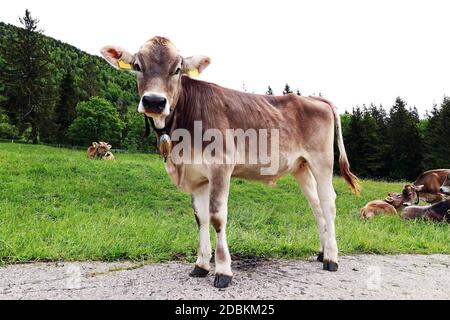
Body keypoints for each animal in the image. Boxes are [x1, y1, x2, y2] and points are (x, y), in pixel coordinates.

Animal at [101, 36, 358, 288]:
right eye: (137, 66)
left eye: (177, 69)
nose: (154, 101)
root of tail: (315, 99)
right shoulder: (197, 176)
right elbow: (200, 218)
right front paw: (201, 265)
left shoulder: (220, 167)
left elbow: (216, 217)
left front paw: (223, 270)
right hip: (301, 166)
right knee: (316, 206)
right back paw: (322, 252)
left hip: (322, 161)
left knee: (328, 204)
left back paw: (332, 258)